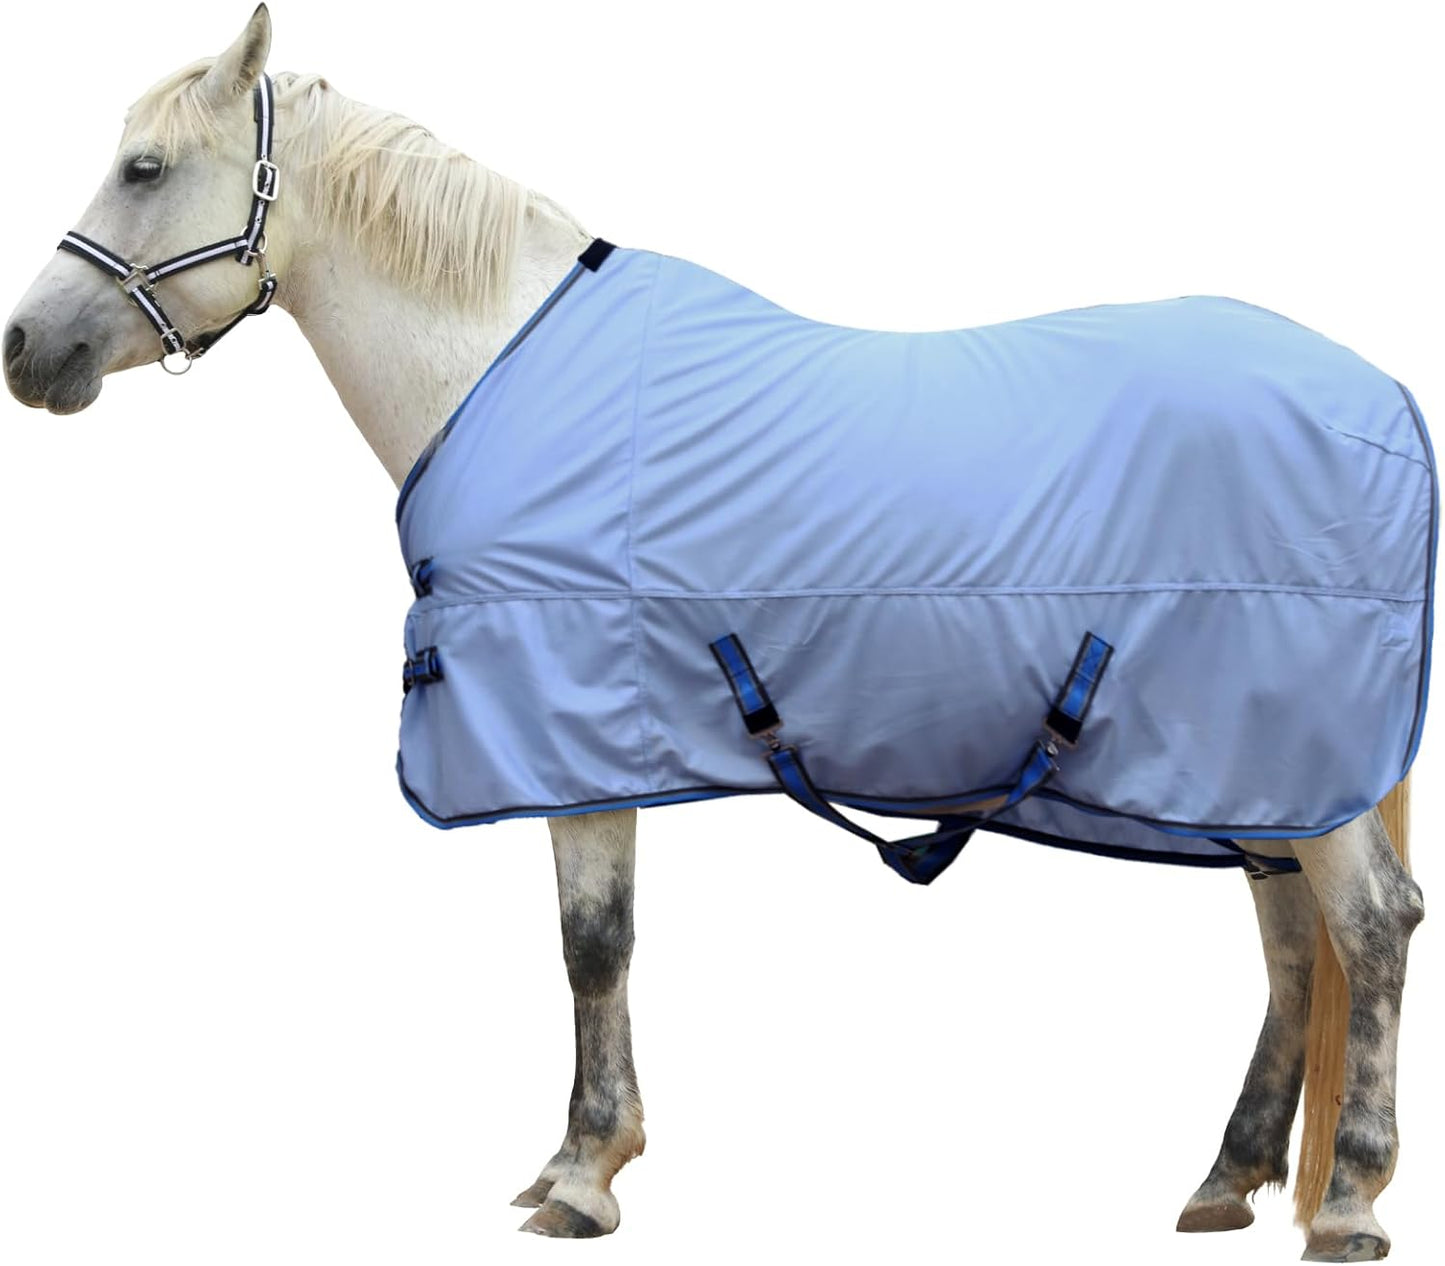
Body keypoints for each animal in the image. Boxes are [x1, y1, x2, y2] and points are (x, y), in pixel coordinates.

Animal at [2, 8, 1428, 1259]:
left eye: (143, 169)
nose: (25, 350)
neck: (498, 363)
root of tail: (1384, 405)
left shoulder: (571, 732)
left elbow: (592, 945)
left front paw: (583, 1175)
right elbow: (596, 944)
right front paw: (580, 1160)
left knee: (1369, 927)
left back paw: (1348, 1202)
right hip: (1251, 769)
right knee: (1290, 939)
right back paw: (1227, 1178)